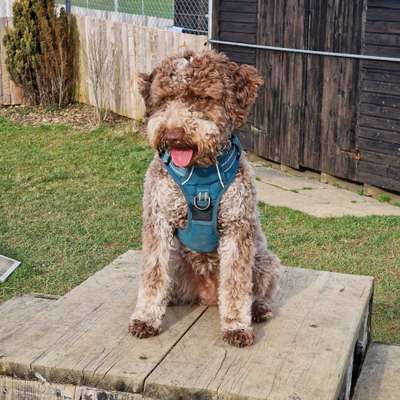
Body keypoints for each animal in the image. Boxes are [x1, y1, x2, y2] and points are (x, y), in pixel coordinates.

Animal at [130, 49, 280, 346]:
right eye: (164, 100)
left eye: (201, 97)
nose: (173, 134)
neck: (199, 173)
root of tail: (208, 296)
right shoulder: (158, 221)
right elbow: (153, 275)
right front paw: (146, 318)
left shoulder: (237, 227)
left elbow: (236, 284)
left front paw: (236, 326)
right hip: (177, 260)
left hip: (264, 260)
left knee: (257, 290)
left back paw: (258, 309)